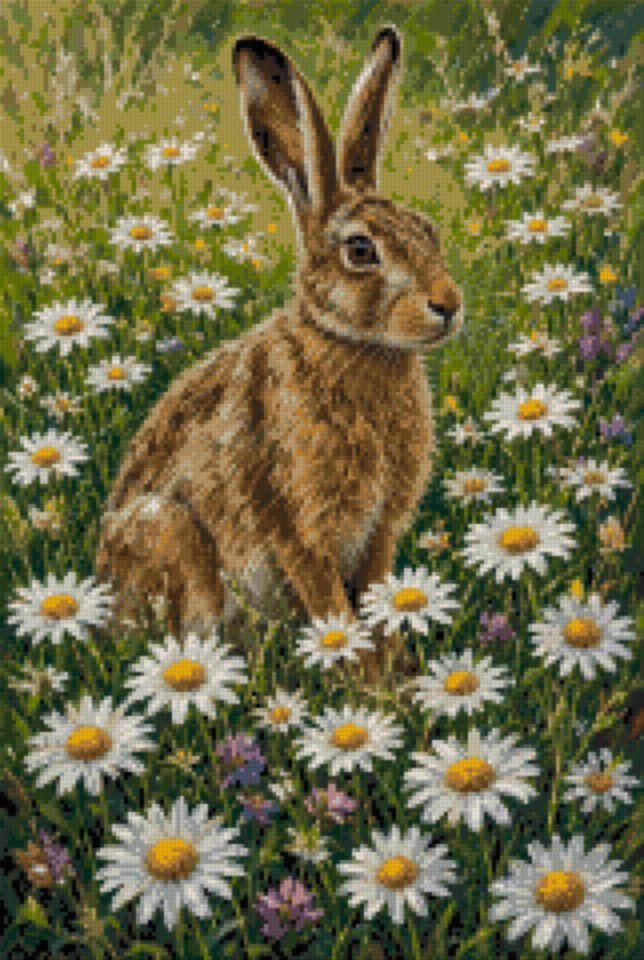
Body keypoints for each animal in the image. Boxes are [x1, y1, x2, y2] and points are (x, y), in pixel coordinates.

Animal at [96, 25, 463, 638]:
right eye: (360, 250)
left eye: (429, 230)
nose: (449, 305)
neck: (351, 344)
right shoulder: (299, 531)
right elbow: (336, 615)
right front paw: (358, 665)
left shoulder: (378, 535)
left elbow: (380, 612)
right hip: (171, 534)